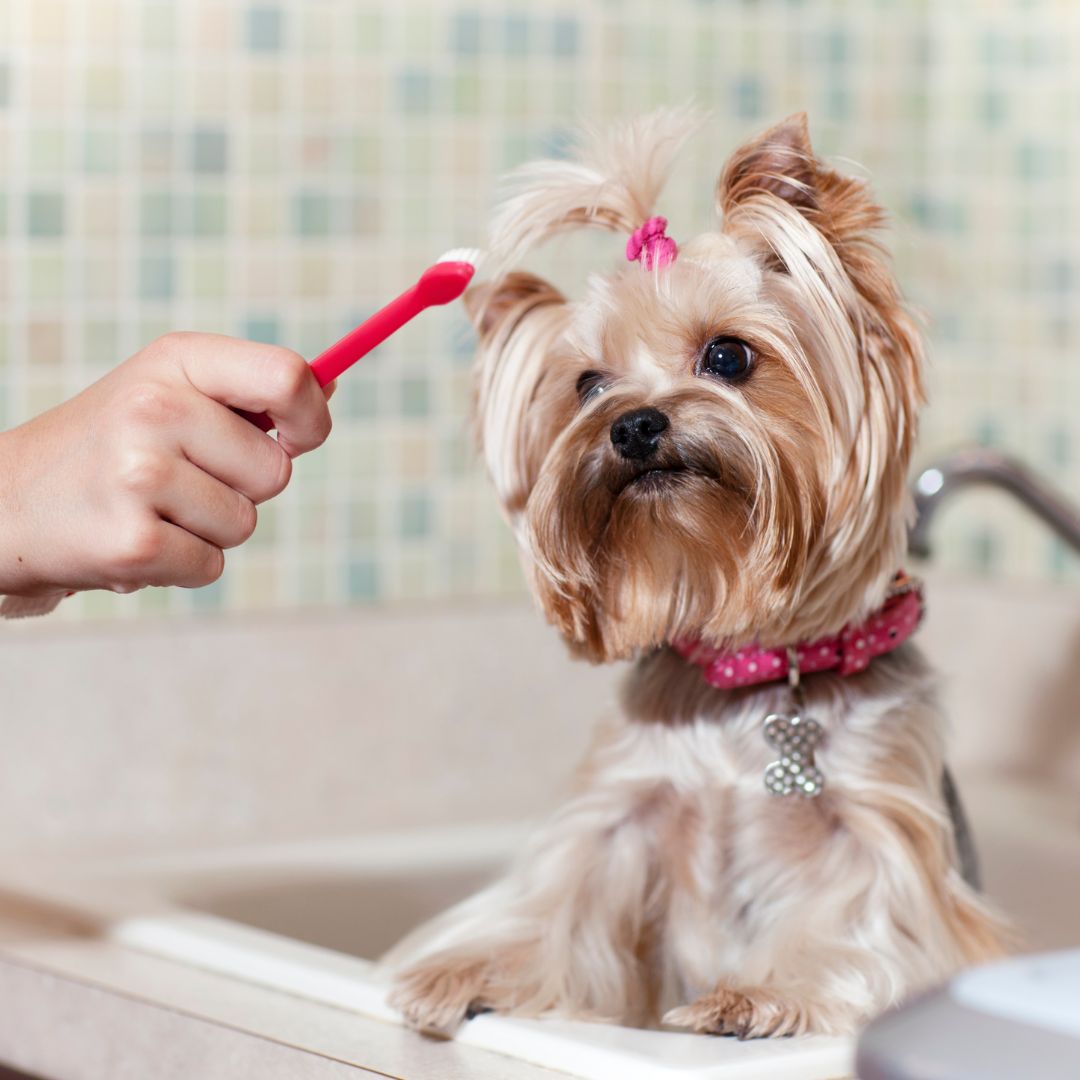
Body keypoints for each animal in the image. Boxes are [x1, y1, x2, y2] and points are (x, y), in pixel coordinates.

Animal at [384, 109, 1006, 1036]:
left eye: (728, 357)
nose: (635, 425)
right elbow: (556, 906)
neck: (747, 674)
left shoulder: (879, 829)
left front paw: (757, 994)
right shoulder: (621, 812)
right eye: (587, 384)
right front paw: (461, 970)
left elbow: (868, 931)